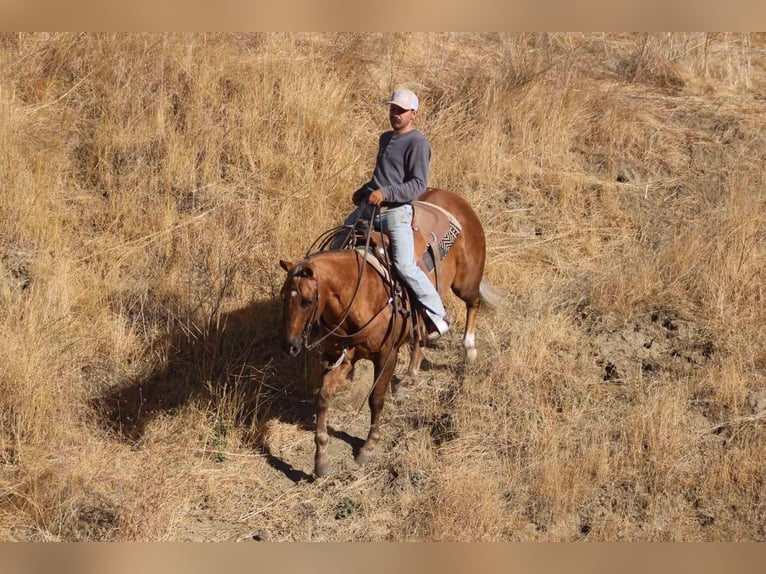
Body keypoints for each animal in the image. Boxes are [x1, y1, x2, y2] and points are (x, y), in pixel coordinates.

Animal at [278, 187, 500, 477]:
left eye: (306, 301)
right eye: (283, 297)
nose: (290, 346)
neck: (361, 293)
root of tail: (455, 200)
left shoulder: (387, 355)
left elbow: (376, 399)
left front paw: (369, 446)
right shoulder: (341, 358)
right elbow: (323, 398)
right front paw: (321, 459)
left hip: (465, 282)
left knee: (473, 304)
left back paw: (470, 349)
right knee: (421, 336)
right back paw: (409, 380)